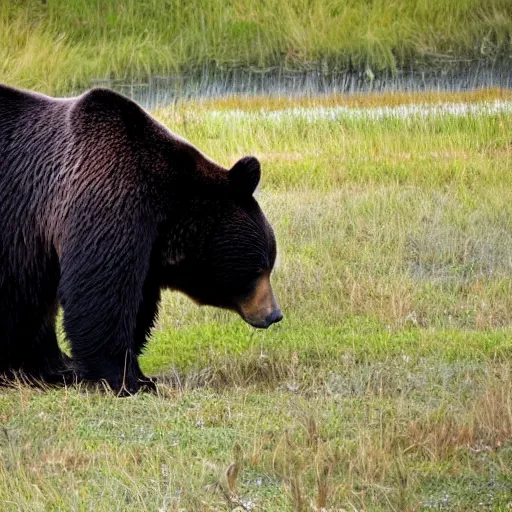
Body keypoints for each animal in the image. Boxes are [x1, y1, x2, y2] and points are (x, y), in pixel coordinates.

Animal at [0, 85, 282, 396]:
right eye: (258, 269)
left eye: (269, 264)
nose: (274, 314)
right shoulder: (106, 204)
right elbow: (102, 295)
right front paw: (127, 379)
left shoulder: (146, 250)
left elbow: (138, 306)